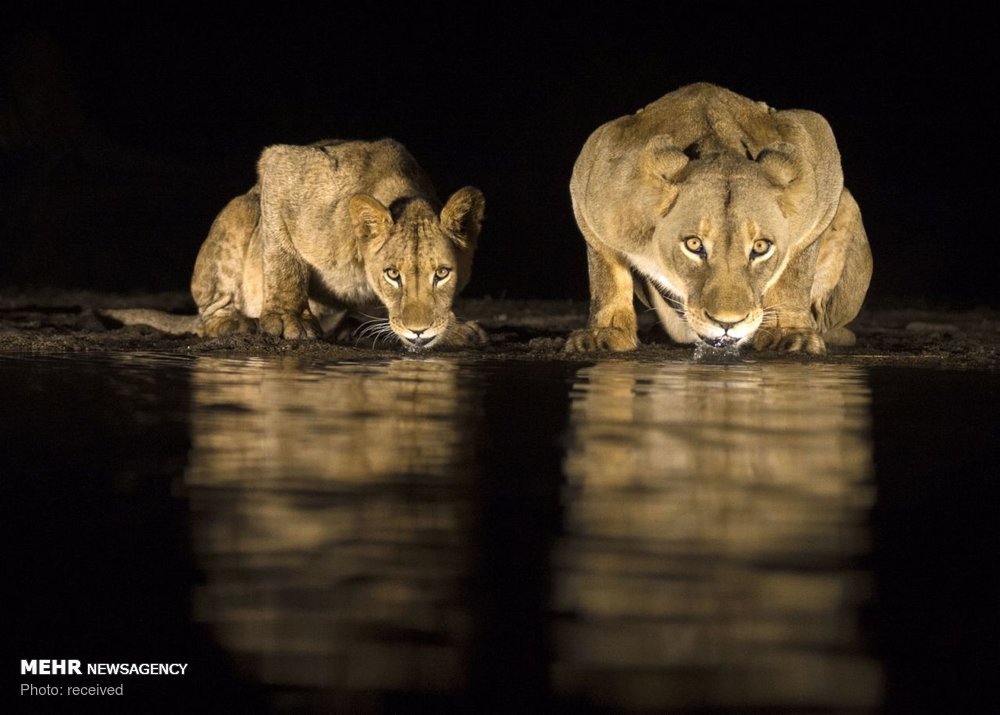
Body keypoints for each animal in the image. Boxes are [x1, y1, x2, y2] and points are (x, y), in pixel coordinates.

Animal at [103, 138, 486, 350]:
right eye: (392, 274)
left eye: (442, 273)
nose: (419, 332)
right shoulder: (280, 166)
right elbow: (284, 259)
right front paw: (289, 319)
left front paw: (454, 330)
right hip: (241, 212)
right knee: (210, 313)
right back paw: (235, 323)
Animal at [568, 84, 872, 356]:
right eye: (693, 244)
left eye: (760, 247)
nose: (727, 323)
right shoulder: (594, 178)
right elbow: (607, 274)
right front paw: (604, 333)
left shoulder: (817, 155)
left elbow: (794, 275)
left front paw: (790, 332)